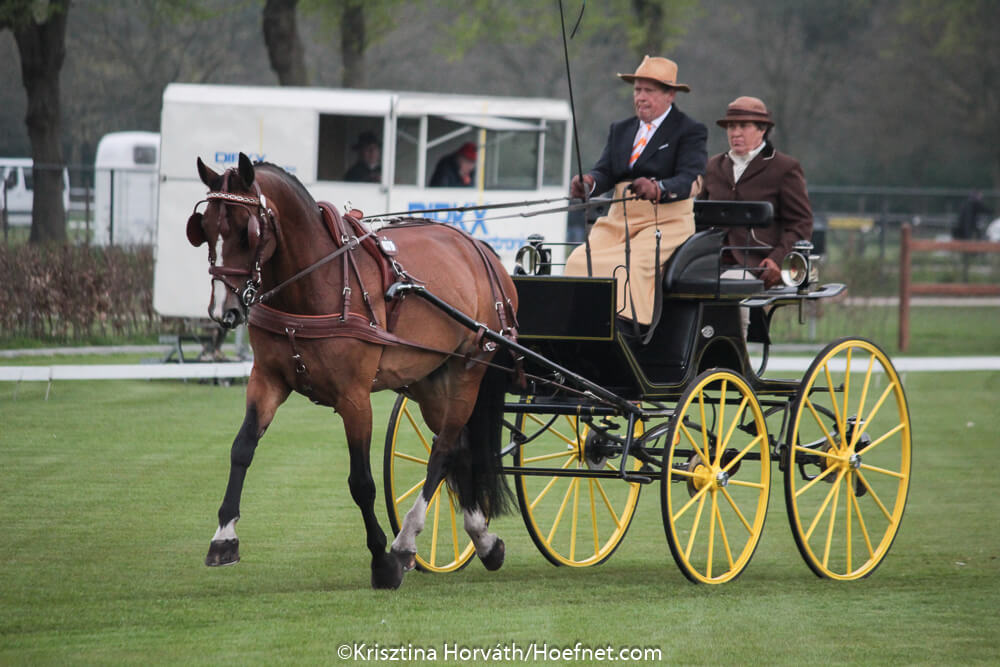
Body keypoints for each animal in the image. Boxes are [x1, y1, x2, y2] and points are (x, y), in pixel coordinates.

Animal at [184, 153, 520, 588]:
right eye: (205, 228)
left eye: (247, 230)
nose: (223, 311)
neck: (316, 281)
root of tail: (481, 250)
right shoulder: (267, 380)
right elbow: (241, 449)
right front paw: (224, 537)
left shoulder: (355, 398)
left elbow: (361, 482)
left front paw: (382, 560)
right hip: (429, 379)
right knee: (459, 448)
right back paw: (483, 540)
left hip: (469, 370)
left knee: (443, 450)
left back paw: (406, 540)